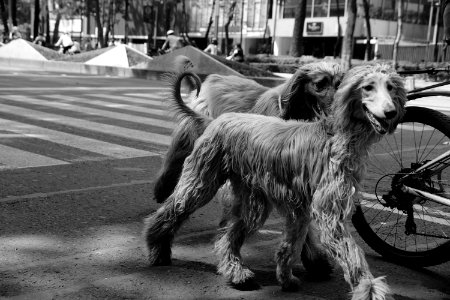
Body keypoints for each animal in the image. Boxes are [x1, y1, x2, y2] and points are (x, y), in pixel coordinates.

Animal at [145, 63, 408, 300]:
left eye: (391, 87)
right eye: (368, 87)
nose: (390, 113)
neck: (336, 135)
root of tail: (216, 119)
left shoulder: (300, 207)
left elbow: (291, 244)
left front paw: (287, 276)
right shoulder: (326, 210)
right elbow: (349, 252)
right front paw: (369, 289)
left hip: (253, 197)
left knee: (228, 236)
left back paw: (236, 272)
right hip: (203, 179)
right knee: (174, 208)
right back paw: (157, 245)